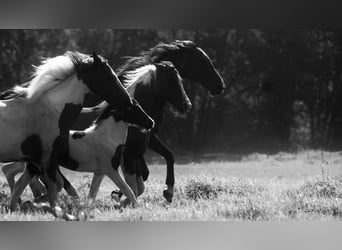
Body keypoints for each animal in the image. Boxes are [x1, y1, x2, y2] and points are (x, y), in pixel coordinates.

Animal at [0, 51, 134, 215]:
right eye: (109, 76)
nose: (128, 101)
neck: (53, 111)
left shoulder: (36, 161)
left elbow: (25, 186)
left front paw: (23, 205)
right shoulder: (48, 159)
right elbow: (53, 190)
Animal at [2, 62, 190, 207]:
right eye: (174, 81)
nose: (186, 105)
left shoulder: (135, 154)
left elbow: (155, 168)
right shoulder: (127, 157)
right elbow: (134, 187)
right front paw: (121, 198)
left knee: (17, 173)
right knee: (29, 177)